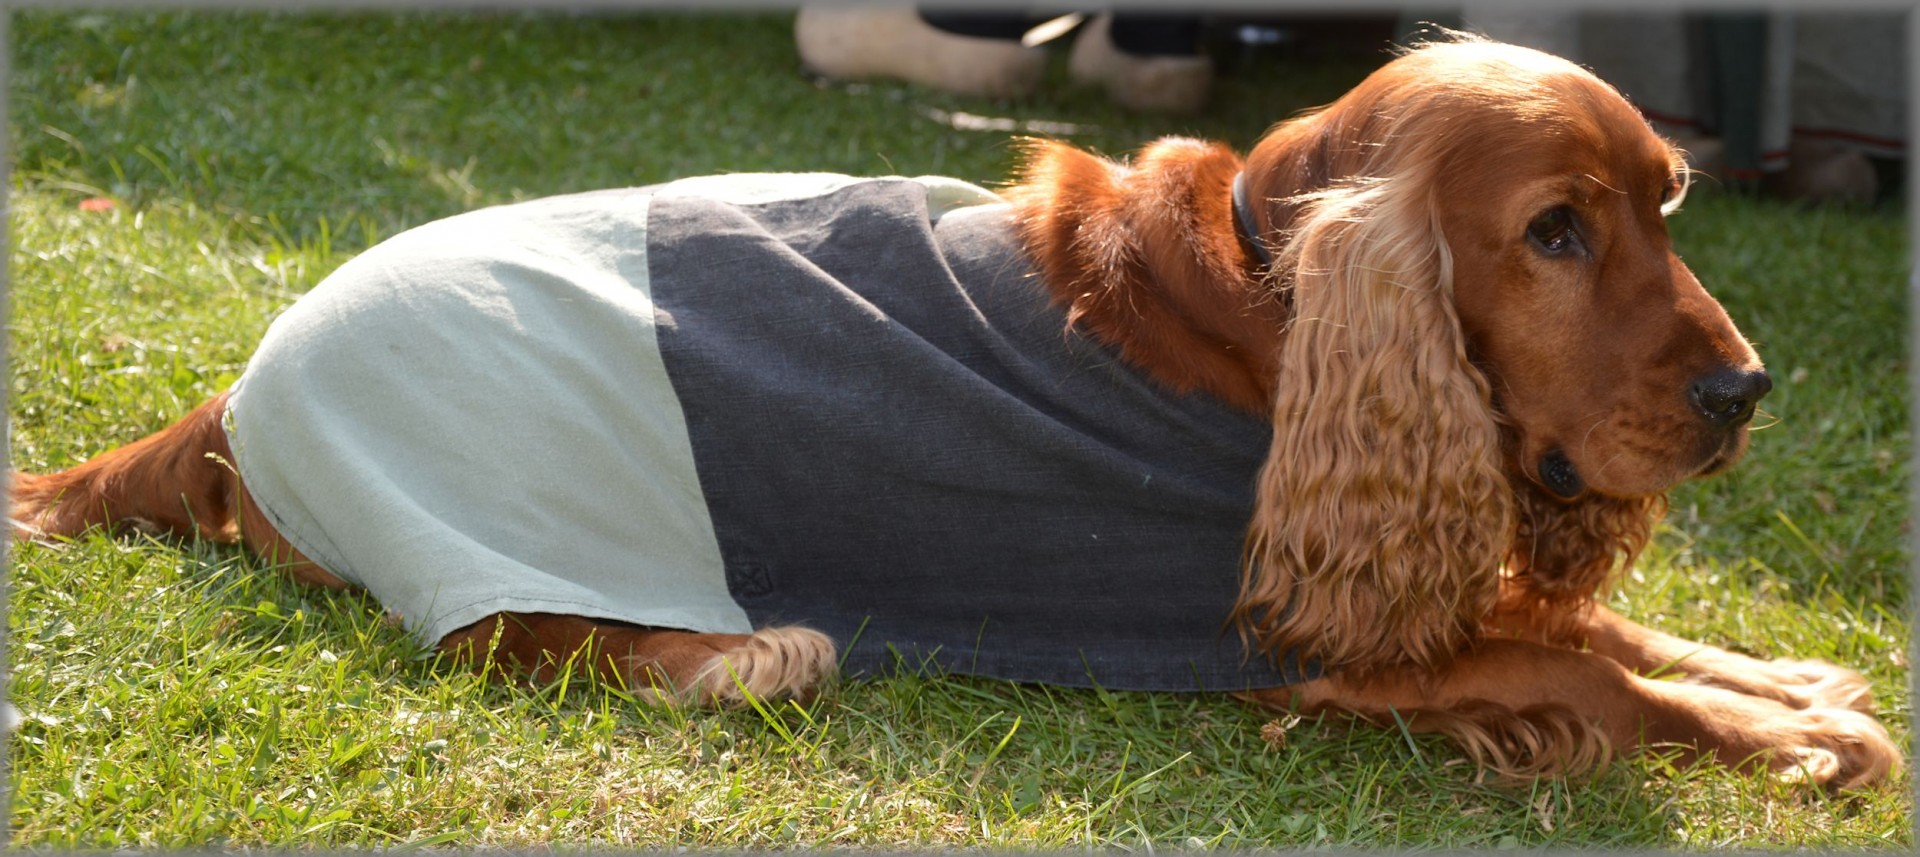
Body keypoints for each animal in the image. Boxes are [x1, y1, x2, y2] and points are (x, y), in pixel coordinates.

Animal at [11, 35, 1904, 791]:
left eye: (1670, 201)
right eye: (1556, 232)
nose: (1744, 389)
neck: (1267, 309)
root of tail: (240, 391)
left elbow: (1616, 628)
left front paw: (1793, 682)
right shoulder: (1304, 648)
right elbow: (1588, 673)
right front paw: (1783, 734)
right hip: (491, 518)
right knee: (521, 639)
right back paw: (739, 652)